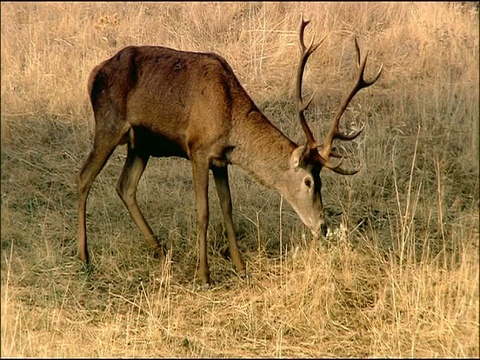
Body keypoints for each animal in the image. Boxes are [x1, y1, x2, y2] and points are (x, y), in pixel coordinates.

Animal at [78, 17, 382, 286]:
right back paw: (84, 256)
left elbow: (227, 209)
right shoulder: (197, 149)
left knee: (125, 186)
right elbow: (204, 212)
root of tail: (93, 73)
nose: (322, 226)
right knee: (84, 177)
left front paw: (241, 267)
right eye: (309, 181)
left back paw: (160, 249)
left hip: (141, 145)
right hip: (108, 124)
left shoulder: (220, 160)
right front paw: (204, 276)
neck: (228, 114)